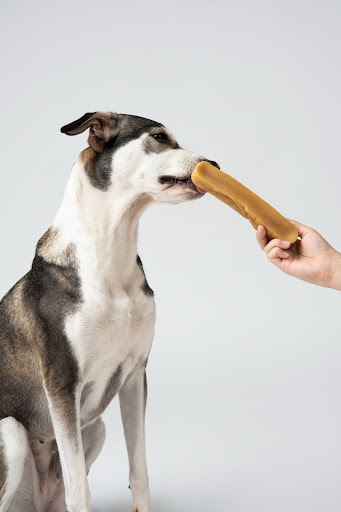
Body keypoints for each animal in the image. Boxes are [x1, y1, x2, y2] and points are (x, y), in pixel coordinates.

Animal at [0, 112, 218, 512]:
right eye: (159, 137)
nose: (215, 165)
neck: (111, 257)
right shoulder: (61, 382)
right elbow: (79, 487)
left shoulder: (134, 374)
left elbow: (139, 468)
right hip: (10, 430)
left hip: (95, 428)